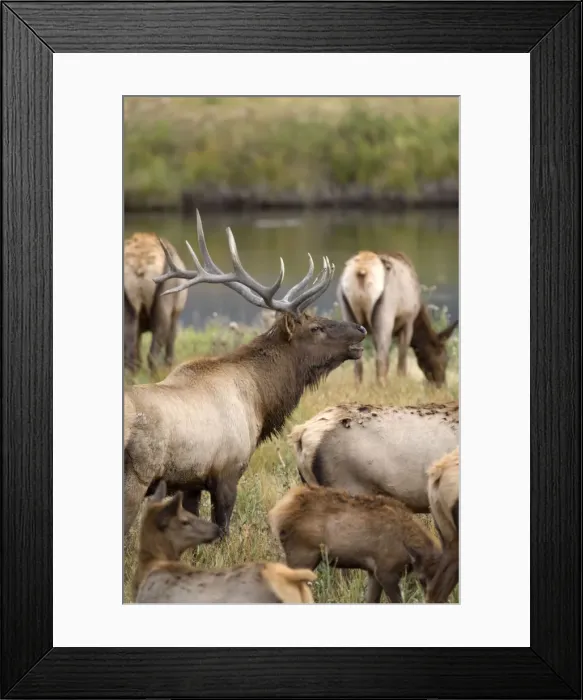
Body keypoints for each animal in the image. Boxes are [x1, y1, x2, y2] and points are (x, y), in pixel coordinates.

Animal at [124, 232, 188, 373]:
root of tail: (140, 266)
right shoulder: (175, 316)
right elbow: (170, 352)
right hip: (164, 301)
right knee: (153, 355)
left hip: (128, 305)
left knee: (131, 358)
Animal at [337, 250, 458, 387]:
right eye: (445, 358)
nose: (441, 384)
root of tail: (362, 271)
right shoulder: (408, 322)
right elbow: (402, 361)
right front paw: (402, 384)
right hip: (385, 315)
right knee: (381, 359)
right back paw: (383, 387)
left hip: (348, 311)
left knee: (358, 362)